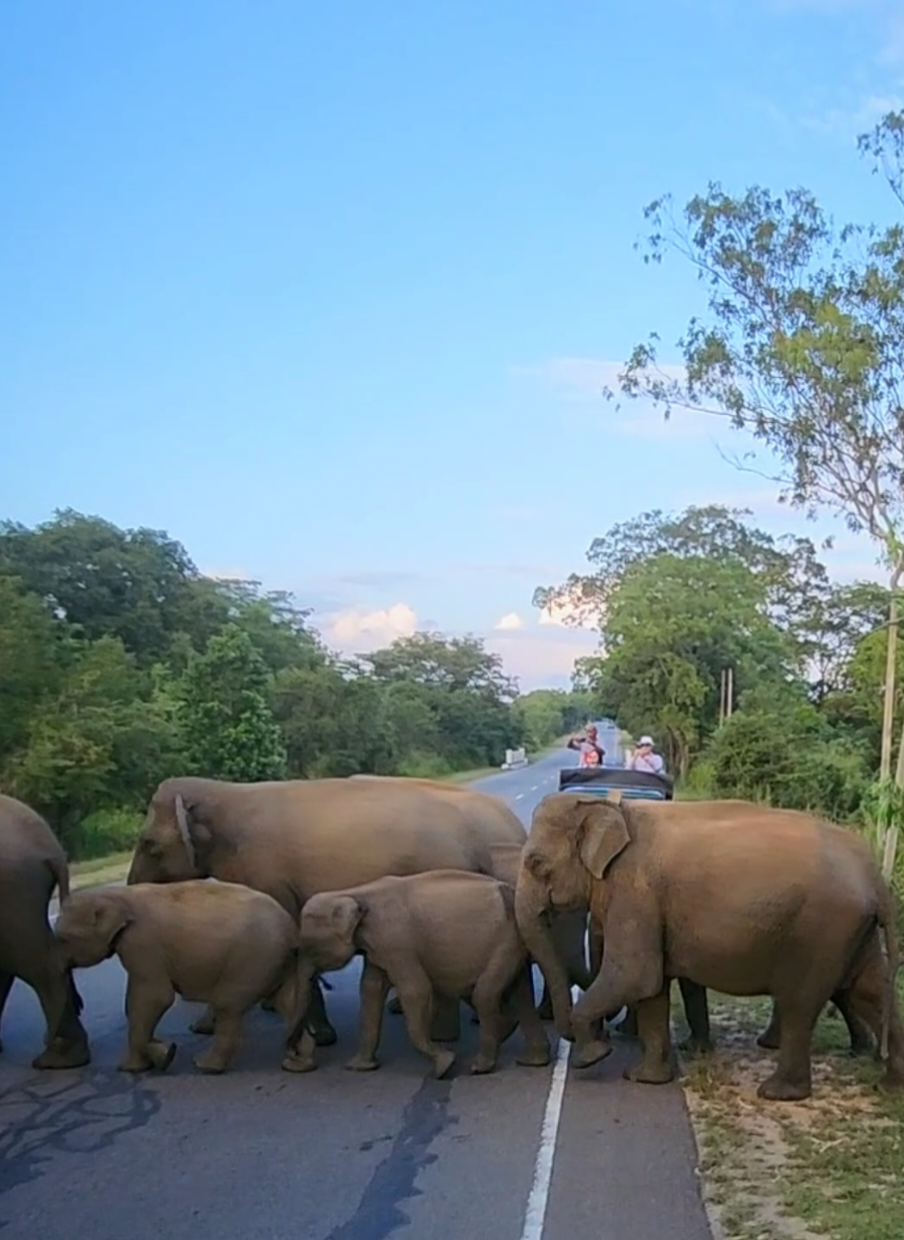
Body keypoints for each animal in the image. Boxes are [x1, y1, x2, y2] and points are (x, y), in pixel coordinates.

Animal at [54, 880, 315, 1075]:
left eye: (63, 939)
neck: (116, 896)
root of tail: (292, 929)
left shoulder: (141, 943)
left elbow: (155, 998)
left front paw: (155, 1058)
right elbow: (139, 1001)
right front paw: (153, 1058)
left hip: (252, 958)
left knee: (228, 1004)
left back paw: (206, 1065)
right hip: (273, 961)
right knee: (287, 1001)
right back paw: (297, 1064)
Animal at [289, 870, 551, 1078]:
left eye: (310, 948)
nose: (297, 1060)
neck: (353, 893)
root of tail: (510, 890)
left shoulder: (397, 941)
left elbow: (415, 991)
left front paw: (444, 1066)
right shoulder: (378, 948)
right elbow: (371, 989)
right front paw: (358, 1067)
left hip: (504, 944)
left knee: (485, 995)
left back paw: (480, 1067)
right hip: (513, 942)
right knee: (520, 995)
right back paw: (525, 1054)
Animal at [515, 792, 904, 1101]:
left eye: (536, 863)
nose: (592, 1040)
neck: (610, 807)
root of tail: (875, 878)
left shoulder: (635, 890)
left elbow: (635, 975)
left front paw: (592, 1057)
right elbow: (651, 988)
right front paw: (644, 1079)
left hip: (822, 928)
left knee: (800, 1001)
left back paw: (777, 1093)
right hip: (853, 930)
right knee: (869, 993)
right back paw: (890, 1087)